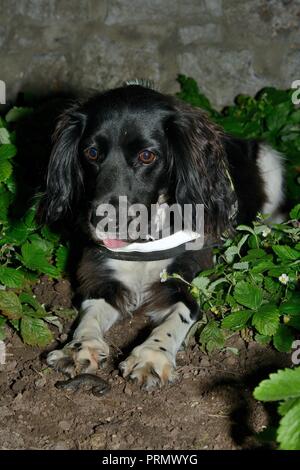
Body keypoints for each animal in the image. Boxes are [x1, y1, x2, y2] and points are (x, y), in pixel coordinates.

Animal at [43, 81, 284, 390]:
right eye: (92, 153)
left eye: (147, 156)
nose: (104, 222)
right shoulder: (101, 277)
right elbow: (89, 315)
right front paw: (79, 348)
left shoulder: (191, 281)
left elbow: (175, 319)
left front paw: (151, 357)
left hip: (270, 158)